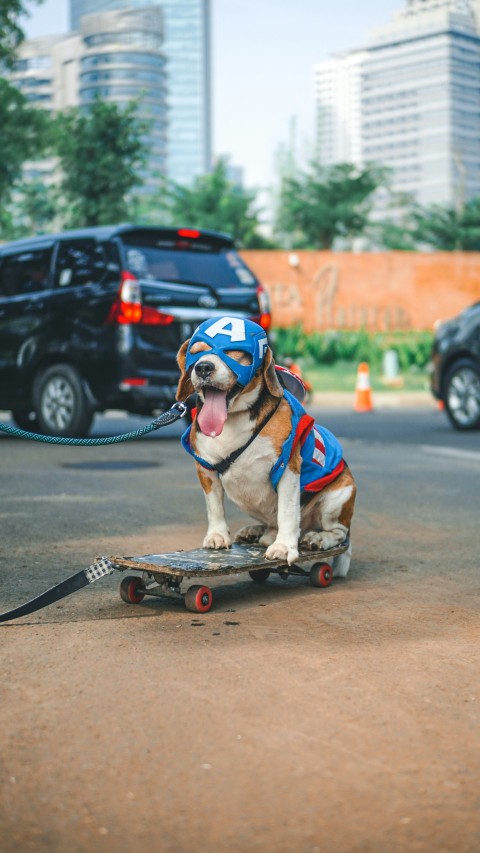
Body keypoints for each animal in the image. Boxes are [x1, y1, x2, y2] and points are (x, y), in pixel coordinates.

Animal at [176, 316, 356, 576]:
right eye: (196, 353)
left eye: (234, 352)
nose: (203, 367)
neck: (234, 417)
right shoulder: (206, 469)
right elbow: (214, 507)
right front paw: (217, 535)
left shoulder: (287, 469)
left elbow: (288, 513)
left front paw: (283, 548)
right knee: (272, 523)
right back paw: (258, 532)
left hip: (338, 497)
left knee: (337, 533)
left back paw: (317, 538)